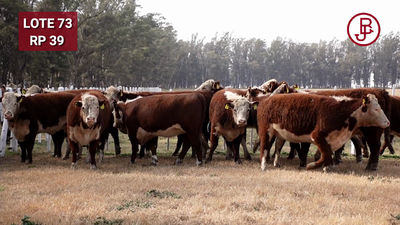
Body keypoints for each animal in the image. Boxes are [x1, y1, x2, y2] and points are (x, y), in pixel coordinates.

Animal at [256, 92, 390, 171]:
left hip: (279, 134)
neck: (342, 111)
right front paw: (312, 166)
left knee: (277, 146)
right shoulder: (317, 136)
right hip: (266, 131)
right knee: (264, 147)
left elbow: (328, 154)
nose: (387, 122)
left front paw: (326, 168)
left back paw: (275, 163)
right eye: (376, 109)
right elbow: (325, 154)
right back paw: (263, 165)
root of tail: (266, 99)